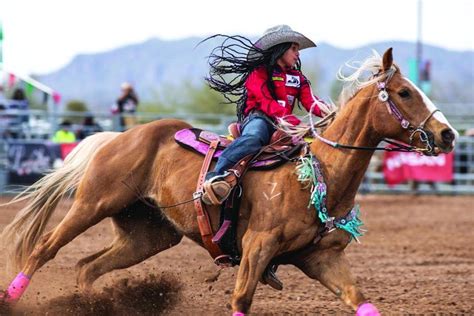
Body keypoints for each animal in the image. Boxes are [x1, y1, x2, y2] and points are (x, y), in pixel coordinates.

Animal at [0, 48, 460, 314]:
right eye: (404, 92)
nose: (448, 135)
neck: (321, 172)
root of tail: (121, 136)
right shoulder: (257, 246)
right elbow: (241, 300)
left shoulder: (322, 258)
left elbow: (361, 302)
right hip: (93, 203)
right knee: (44, 249)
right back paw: (13, 297)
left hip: (149, 234)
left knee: (87, 266)